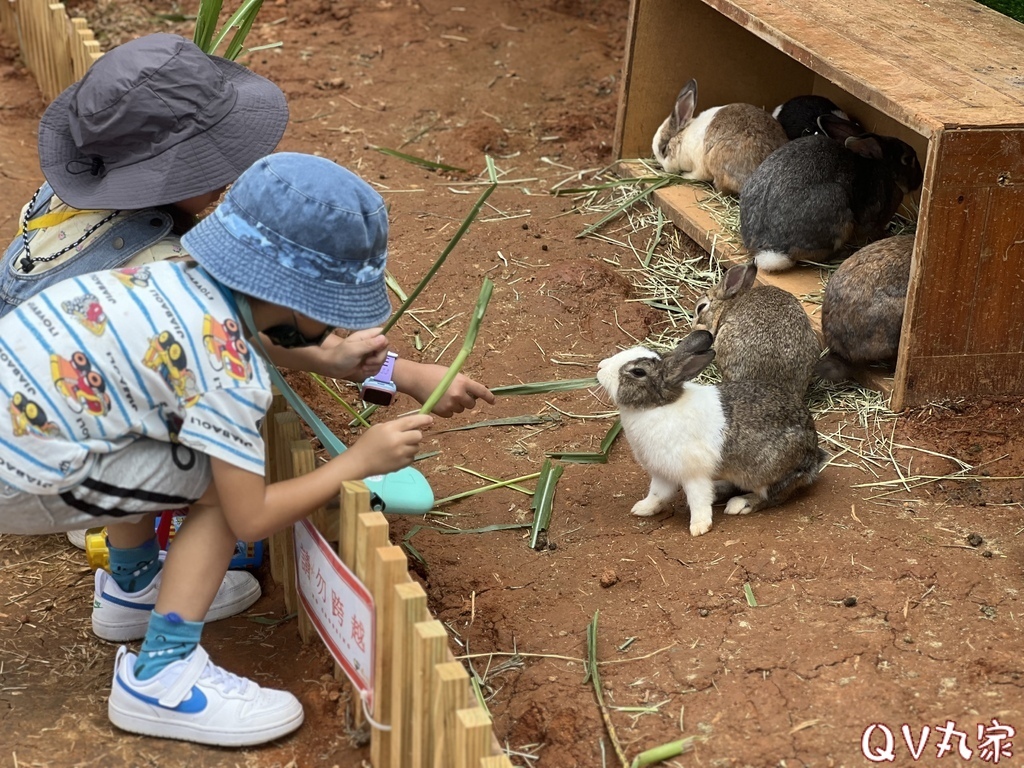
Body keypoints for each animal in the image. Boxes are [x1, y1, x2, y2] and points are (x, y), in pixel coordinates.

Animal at [598, 329, 823, 536]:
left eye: (638, 372)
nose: (600, 368)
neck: (658, 407)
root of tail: (813, 455)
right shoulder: (662, 473)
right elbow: (657, 495)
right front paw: (642, 509)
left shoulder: (693, 473)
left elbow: (698, 501)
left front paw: (699, 527)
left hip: (766, 470)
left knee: (774, 495)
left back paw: (741, 504)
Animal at [651, 78, 786, 195]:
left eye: (664, 150)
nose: (665, 168)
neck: (682, 139)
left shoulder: (699, 167)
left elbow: (697, 175)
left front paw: (685, 175)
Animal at [741, 112, 925, 272]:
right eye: (908, 160)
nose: (920, 179)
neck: (885, 170)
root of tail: (771, 250)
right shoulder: (873, 220)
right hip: (837, 205)